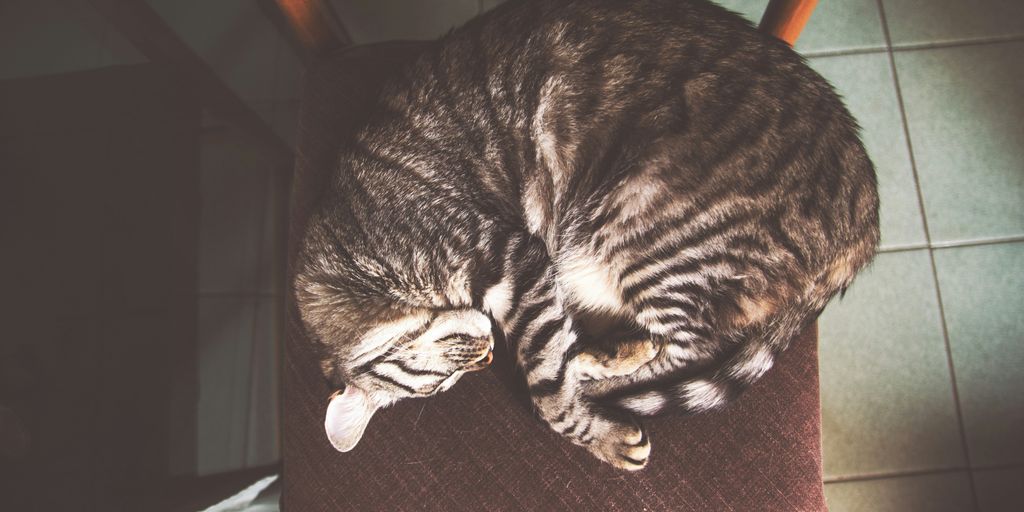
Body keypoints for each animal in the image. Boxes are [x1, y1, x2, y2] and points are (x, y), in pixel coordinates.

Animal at [294, 0, 880, 471]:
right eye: (447, 383)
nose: (487, 356)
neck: (353, 245)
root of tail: (867, 219)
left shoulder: (511, 257)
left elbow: (546, 390)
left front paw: (599, 434)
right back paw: (605, 355)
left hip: (644, 229)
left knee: (690, 347)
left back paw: (595, 365)